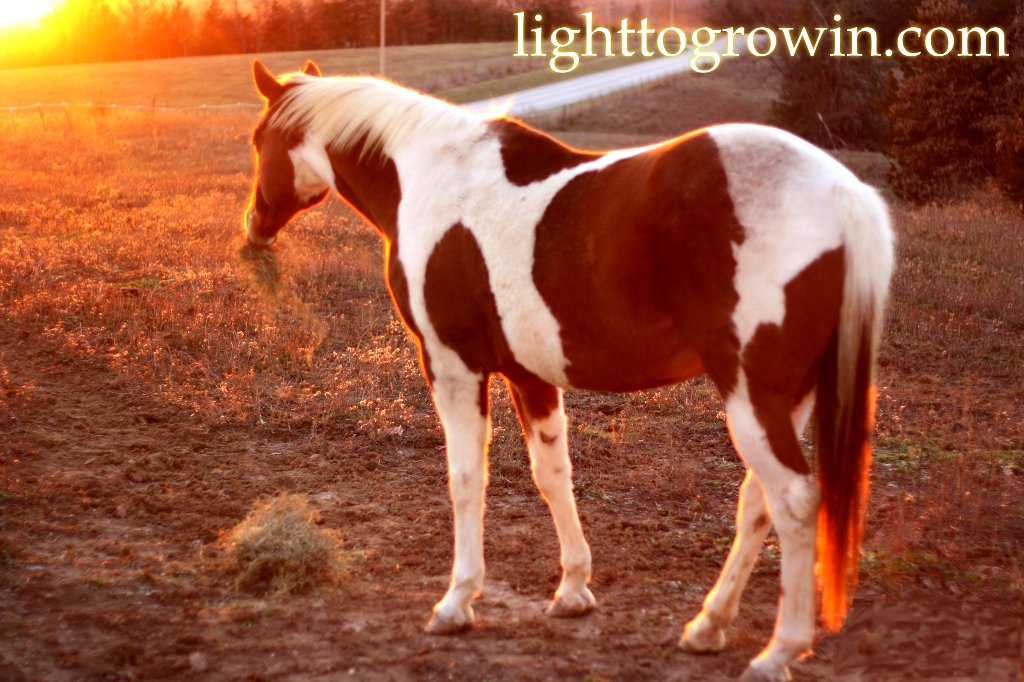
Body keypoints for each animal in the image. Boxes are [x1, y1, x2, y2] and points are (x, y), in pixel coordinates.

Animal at [244, 59, 894, 682]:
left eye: (257, 141)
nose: (254, 225)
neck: (430, 174)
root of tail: (843, 195)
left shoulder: (452, 364)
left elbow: (465, 479)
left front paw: (457, 601)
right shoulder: (530, 375)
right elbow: (553, 475)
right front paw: (574, 590)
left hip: (753, 395)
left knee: (795, 500)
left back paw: (778, 652)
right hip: (786, 397)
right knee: (758, 500)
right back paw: (708, 626)